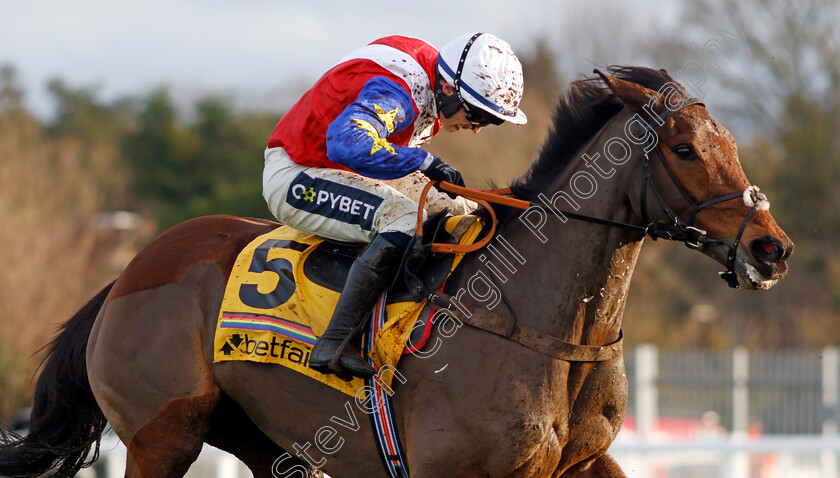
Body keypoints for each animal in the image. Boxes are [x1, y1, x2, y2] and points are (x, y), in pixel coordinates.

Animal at [0, 67, 792, 478]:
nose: (771, 248)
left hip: (266, 442)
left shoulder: (583, 465)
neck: (549, 333)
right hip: (160, 436)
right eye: (685, 148)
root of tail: (126, 276)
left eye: (729, 141)